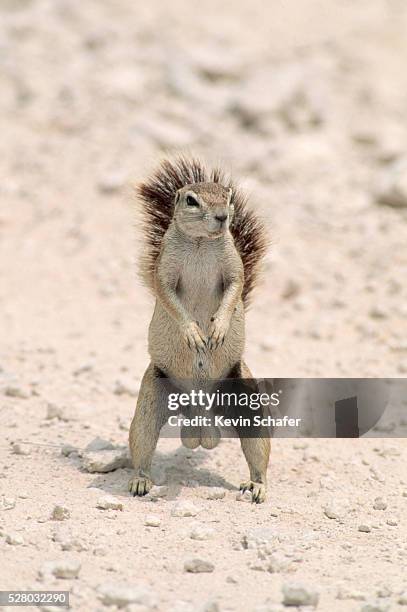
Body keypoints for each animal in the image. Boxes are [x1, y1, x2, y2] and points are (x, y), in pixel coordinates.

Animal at [129, 157, 270, 502]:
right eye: (192, 200)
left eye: (229, 196)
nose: (222, 217)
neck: (200, 243)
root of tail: (200, 407)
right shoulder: (165, 271)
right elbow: (168, 296)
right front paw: (193, 332)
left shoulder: (233, 266)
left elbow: (234, 289)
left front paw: (218, 327)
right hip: (151, 399)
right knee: (142, 443)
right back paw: (140, 481)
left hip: (247, 399)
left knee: (257, 449)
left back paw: (257, 486)